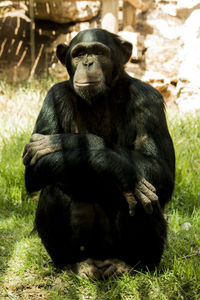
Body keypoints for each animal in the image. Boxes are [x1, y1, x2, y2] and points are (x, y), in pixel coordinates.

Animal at [22, 28, 174, 278]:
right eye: (78, 54)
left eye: (99, 52)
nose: (87, 62)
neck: (99, 99)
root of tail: (102, 260)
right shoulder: (54, 96)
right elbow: (34, 170)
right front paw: (112, 165)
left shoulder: (147, 99)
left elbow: (160, 169)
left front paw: (76, 144)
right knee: (54, 186)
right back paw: (76, 264)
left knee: (139, 192)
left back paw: (128, 265)